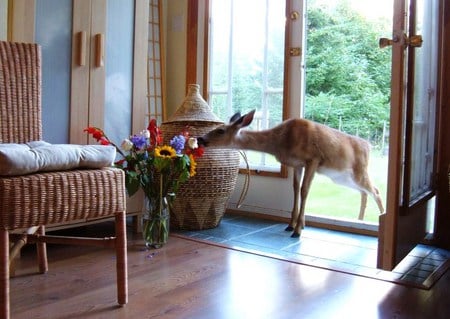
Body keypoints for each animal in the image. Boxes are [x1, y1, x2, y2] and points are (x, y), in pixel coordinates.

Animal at [195, 110, 384, 238]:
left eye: (220, 130)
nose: (200, 139)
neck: (281, 141)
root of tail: (368, 145)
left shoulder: (312, 159)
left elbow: (304, 190)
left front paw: (298, 230)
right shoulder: (296, 164)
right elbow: (295, 189)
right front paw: (291, 225)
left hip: (358, 171)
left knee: (375, 191)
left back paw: (380, 218)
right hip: (343, 178)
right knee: (365, 192)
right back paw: (361, 220)